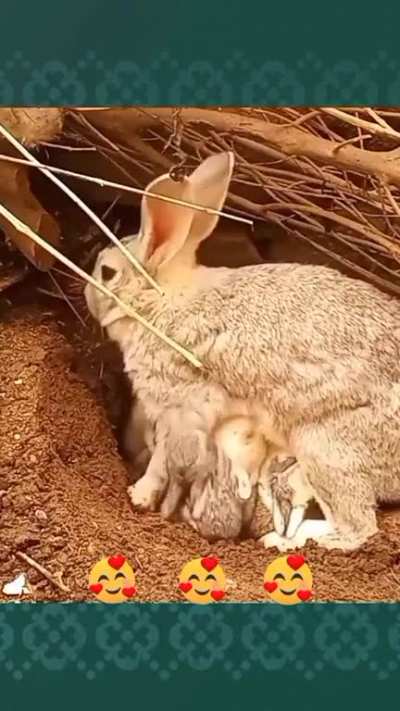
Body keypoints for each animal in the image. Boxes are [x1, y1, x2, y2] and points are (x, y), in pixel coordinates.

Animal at [85, 150, 400, 552]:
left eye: (107, 273)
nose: (87, 294)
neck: (160, 301)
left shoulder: (181, 409)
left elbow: (162, 457)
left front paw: (139, 494)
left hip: (327, 450)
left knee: (358, 527)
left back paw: (284, 540)